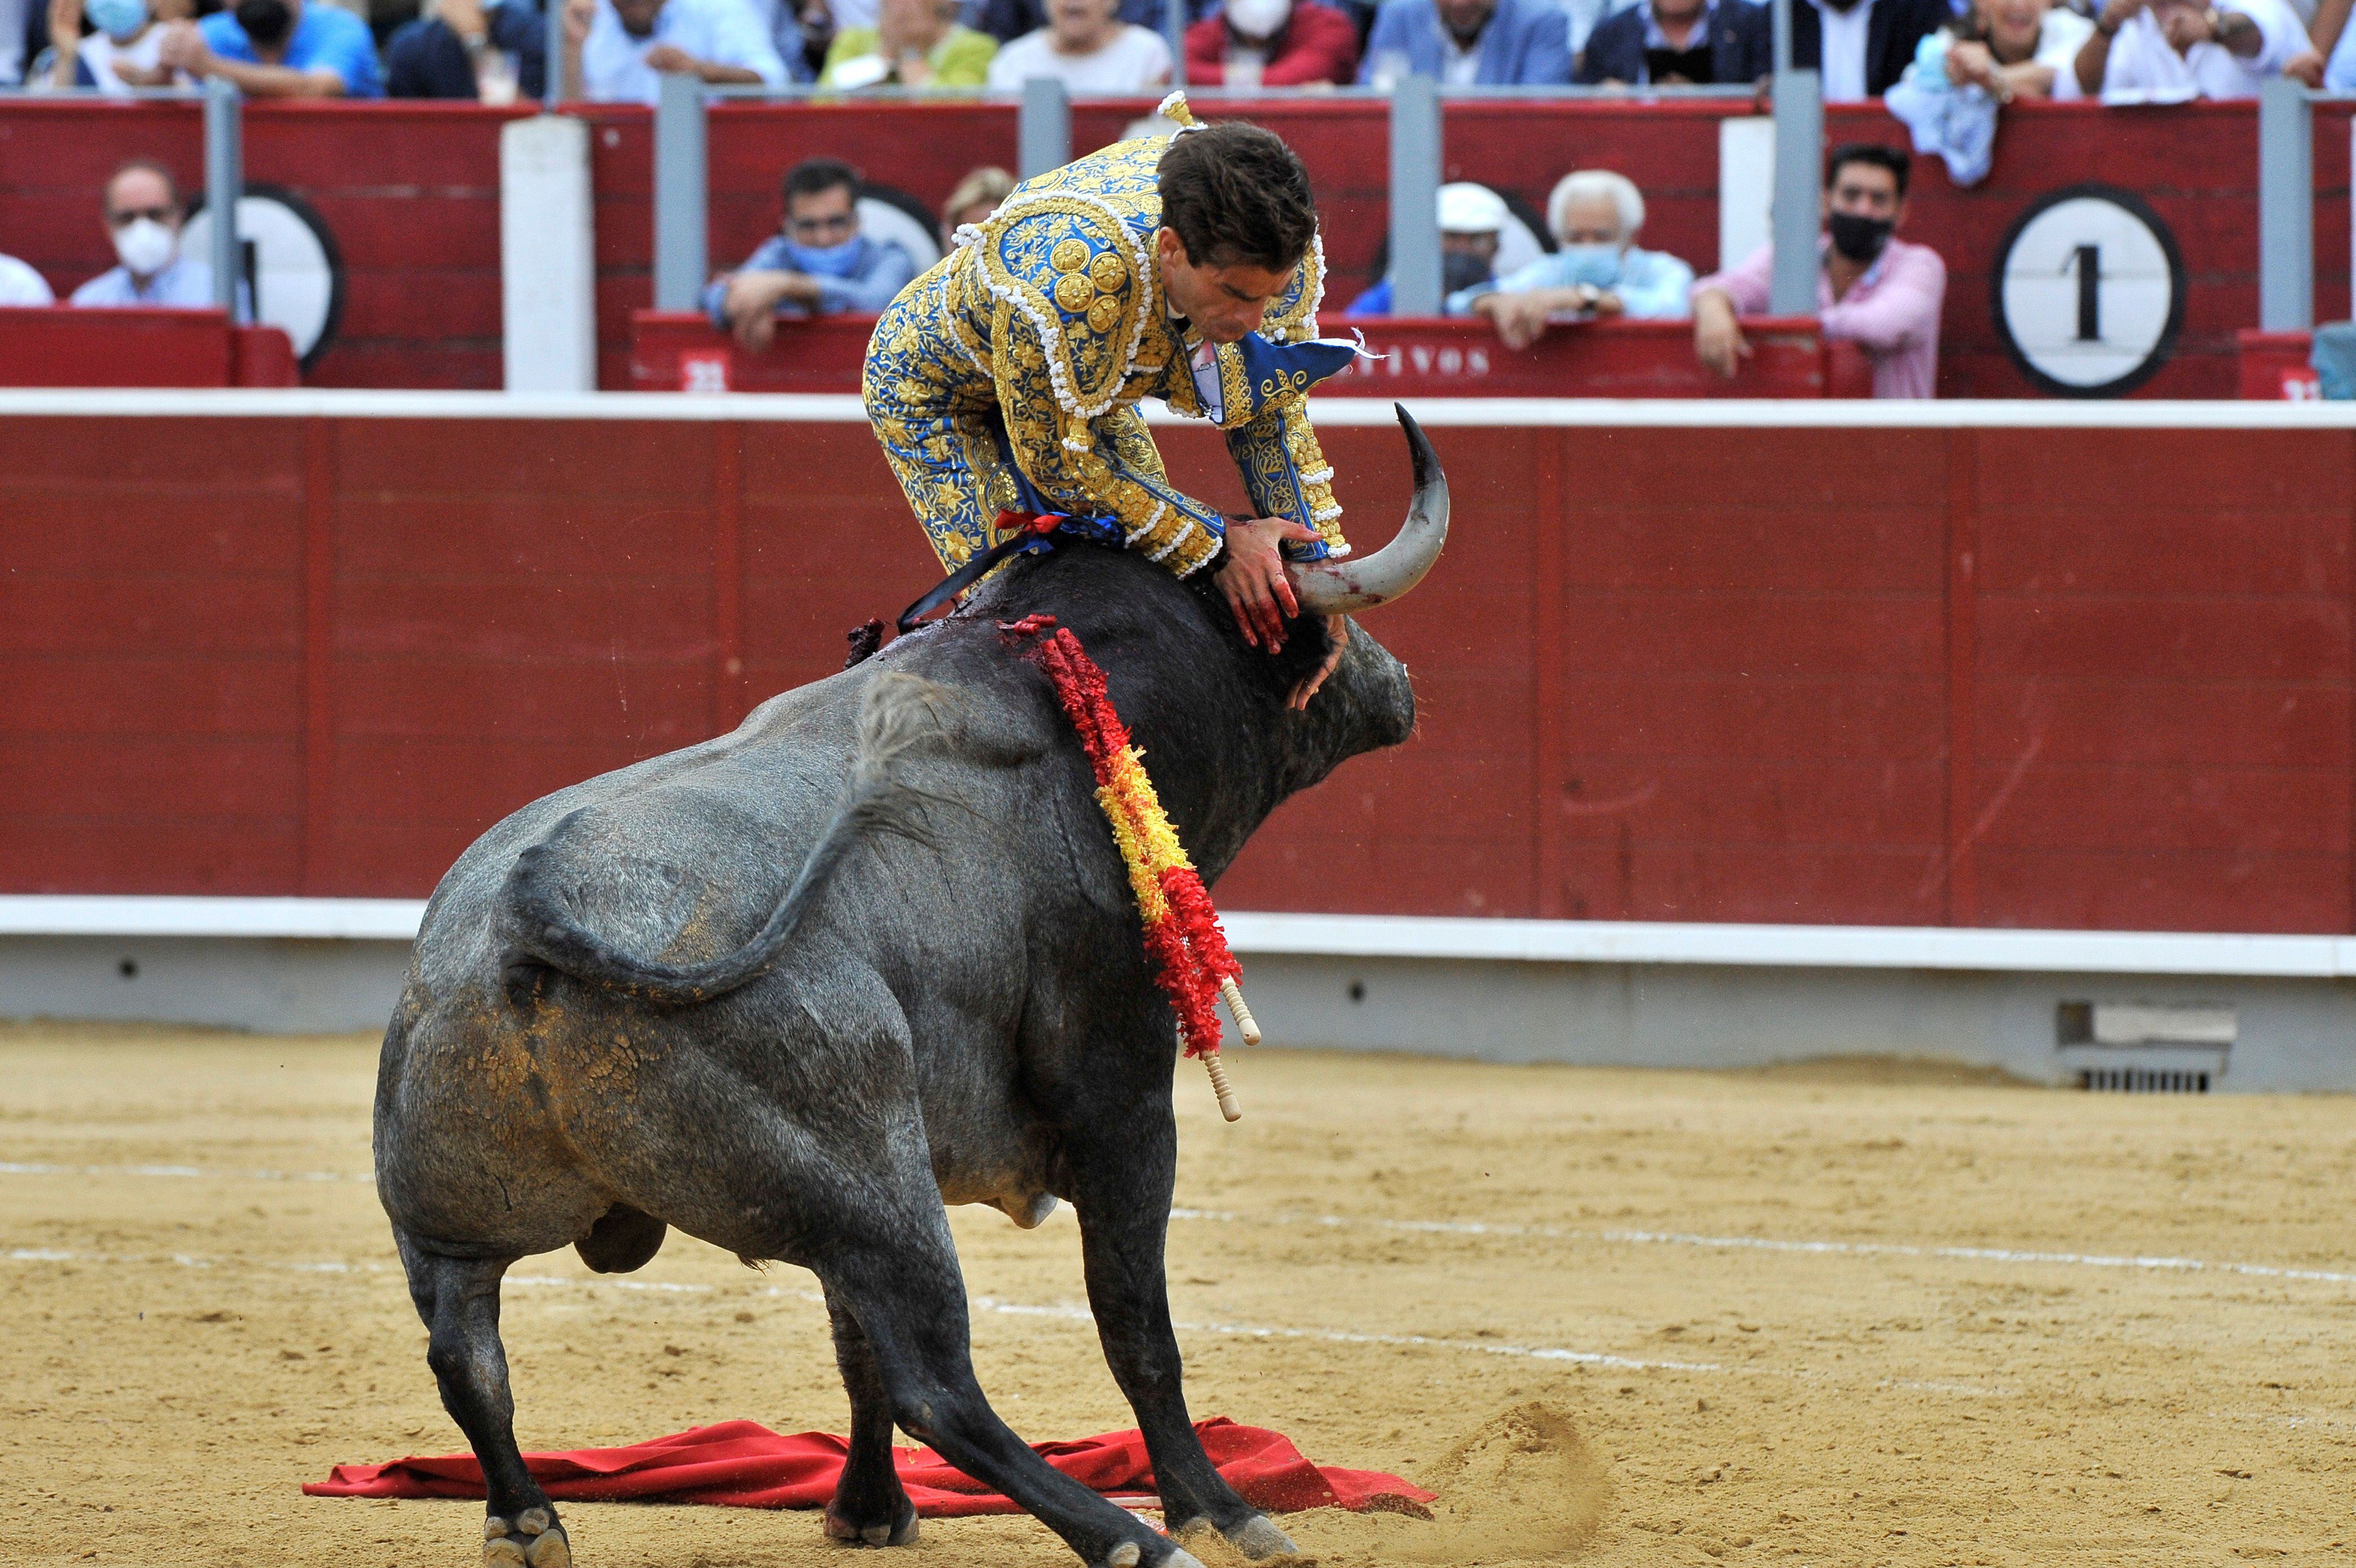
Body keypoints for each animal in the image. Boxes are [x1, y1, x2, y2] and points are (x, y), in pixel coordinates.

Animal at [374, 405, 1442, 1565]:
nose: (1396, 681)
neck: (1052, 680)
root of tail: (518, 915)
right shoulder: (1117, 1088)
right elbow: (1133, 1320)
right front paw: (1219, 1508)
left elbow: (854, 1346)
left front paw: (868, 1509)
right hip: (874, 1177)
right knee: (940, 1379)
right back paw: (1128, 1534)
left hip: (459, 1217)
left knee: (465, 1352)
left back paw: (526, 1518)